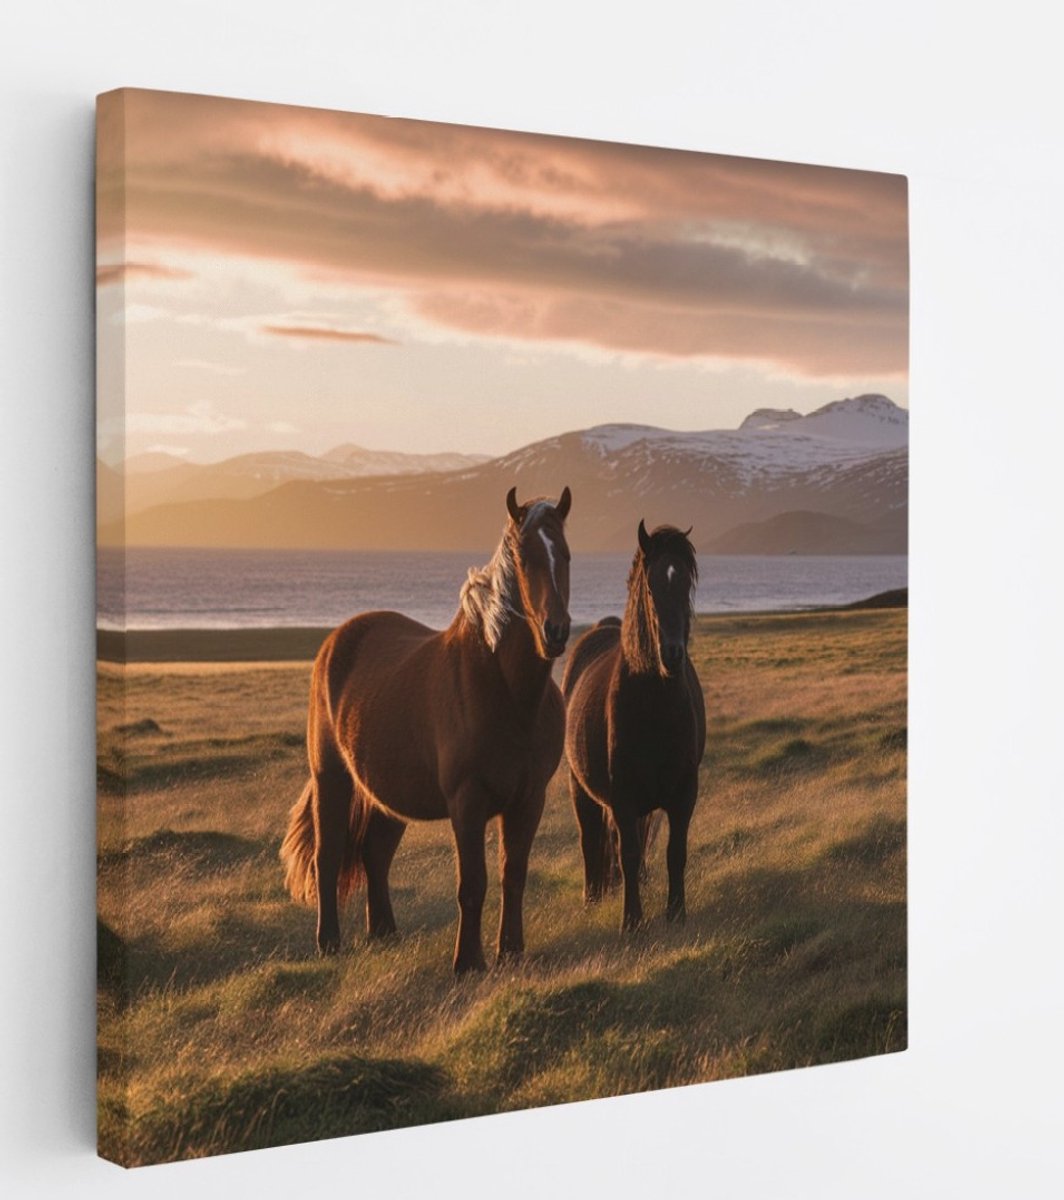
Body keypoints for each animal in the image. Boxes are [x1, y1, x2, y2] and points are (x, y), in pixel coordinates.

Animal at [281, 486, 572, 973]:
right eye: (524, 557)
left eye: (565, 555)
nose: (556, 631)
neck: (508, 693)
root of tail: (336, 641)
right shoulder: (467, 802)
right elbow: (472, 884)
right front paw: (468, 962)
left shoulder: (529, 798)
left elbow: (513, 875)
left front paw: (511, 951)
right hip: (332, 778)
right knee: (329, 855)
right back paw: (329, 942)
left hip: (384, 792)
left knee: (375, 853)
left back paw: (384, 933)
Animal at [562, 520, 705, 932]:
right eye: (651, 585)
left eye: (686, 585)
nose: (672, 654)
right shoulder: (623, 797)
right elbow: (625, 852)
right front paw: (632, 921)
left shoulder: (684, 793)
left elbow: (675, 852)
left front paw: (677, 913)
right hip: (581, 788)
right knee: (591, 839)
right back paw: (593, 897)